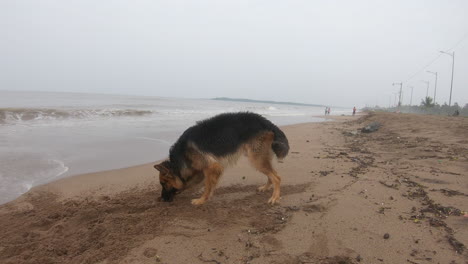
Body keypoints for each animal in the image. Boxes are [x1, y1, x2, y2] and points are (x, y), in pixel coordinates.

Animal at [154, 112, 288, 205]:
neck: (181, 157)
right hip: (259, 157)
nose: (162, 199)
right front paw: (205, 195)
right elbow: (208, 183)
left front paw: (201, 200)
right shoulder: (208, 169)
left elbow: (208, 185)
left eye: (163, 183)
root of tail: (265, 122)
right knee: (271, 174)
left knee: (277, 177)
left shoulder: (211, 167)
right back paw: (266, 188)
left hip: (256, 159)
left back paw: (274, 198)